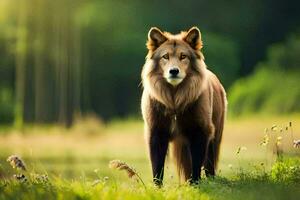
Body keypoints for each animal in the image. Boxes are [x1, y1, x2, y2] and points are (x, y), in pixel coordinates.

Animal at [142, 26, 226, 186]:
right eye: (165, 56)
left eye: (183, 56)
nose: (174, 71)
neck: (174, 100)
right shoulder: (156, 132)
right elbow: (157, 166)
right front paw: (157, 187)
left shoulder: (201, 131)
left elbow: (196, 163)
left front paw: (195, 184)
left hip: (215, 134)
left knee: (209, 163)